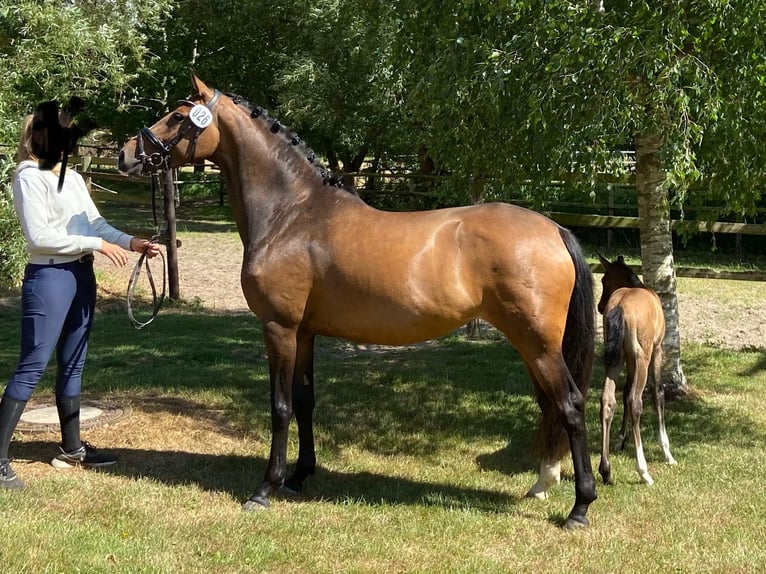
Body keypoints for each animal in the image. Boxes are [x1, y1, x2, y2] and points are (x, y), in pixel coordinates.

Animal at [118, 74, 598, 529]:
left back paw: (579, 507)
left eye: (178, 117)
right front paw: (299, 476)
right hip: (532, 345)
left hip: (537, 343)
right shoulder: (305, 333)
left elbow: (280, 407)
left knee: (571, 406)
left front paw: (265, 488)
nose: (127, 154)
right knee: (550, 408)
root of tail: (555, 229)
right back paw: (542, 485)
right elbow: (305, 402)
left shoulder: (279, 328)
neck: (292, 216)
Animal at [596, 255, 676, 486]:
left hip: (615, 361)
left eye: (604, 280)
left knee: (608, 400)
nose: (600, 306)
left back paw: (606, 471)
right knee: (636, 401)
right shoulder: (657, 350)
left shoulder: (627, 358)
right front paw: (667, 452)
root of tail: (620, 306)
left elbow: (623, 392)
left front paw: (620, 440)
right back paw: (643, 471)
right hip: (643, 357)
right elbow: (658, 392)